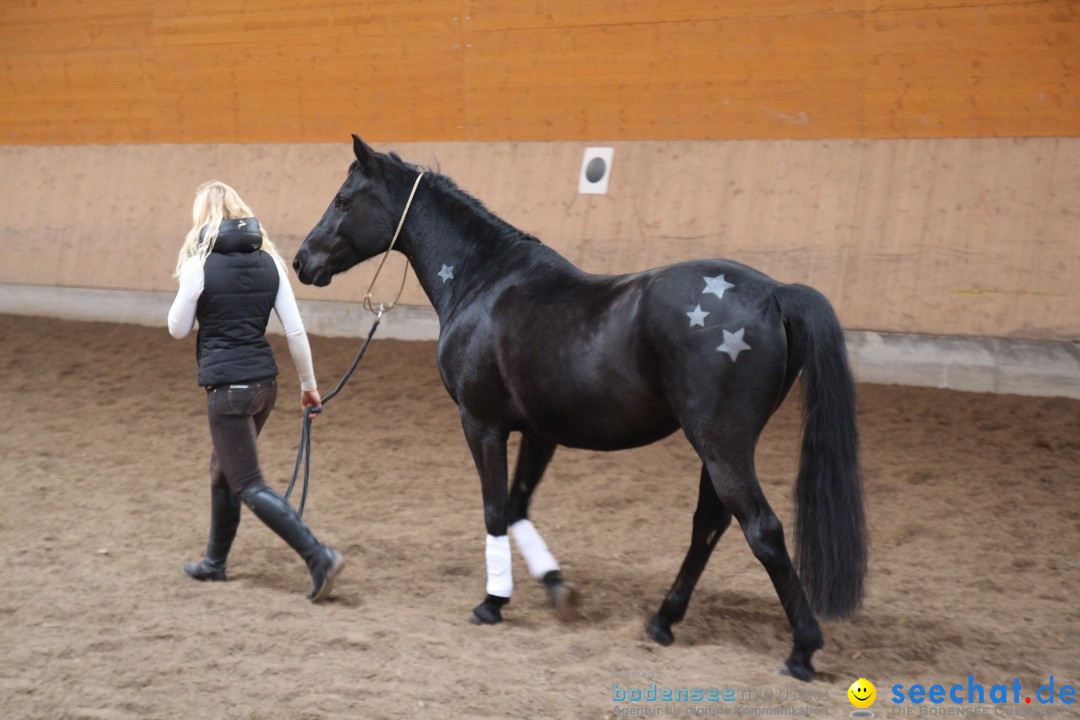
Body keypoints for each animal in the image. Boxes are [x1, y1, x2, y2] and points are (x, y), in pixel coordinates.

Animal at [295, 136, 868, 682]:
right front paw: (556, 587)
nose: (302, 261)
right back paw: (662, 621)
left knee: (762, 531)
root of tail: (775, 293)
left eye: (343, 199)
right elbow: (517, 507)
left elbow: (494, 510)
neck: (485, 281)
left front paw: (492, 602)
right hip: (715, 447)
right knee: (709, 525)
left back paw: (801, 650)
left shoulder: (482, 424)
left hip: (721, 444)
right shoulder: (539, 432)